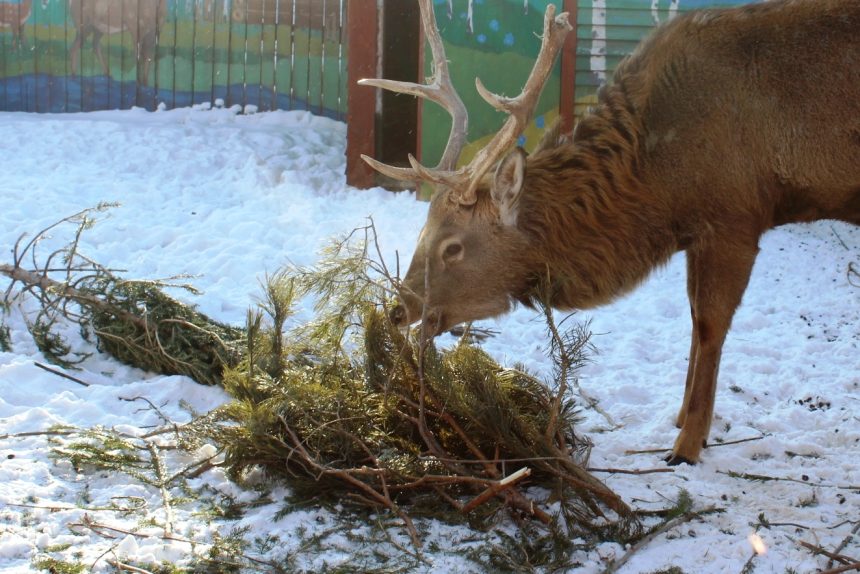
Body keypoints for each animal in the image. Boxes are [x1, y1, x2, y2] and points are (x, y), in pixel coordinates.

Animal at [362, 0, 860, 468]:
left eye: (453, 247)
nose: (399, 309)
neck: (659, 183)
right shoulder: (698, 230)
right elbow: (693, 319)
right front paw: (681, 417)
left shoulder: (734, 216)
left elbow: (709, 325)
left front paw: (687, 444)